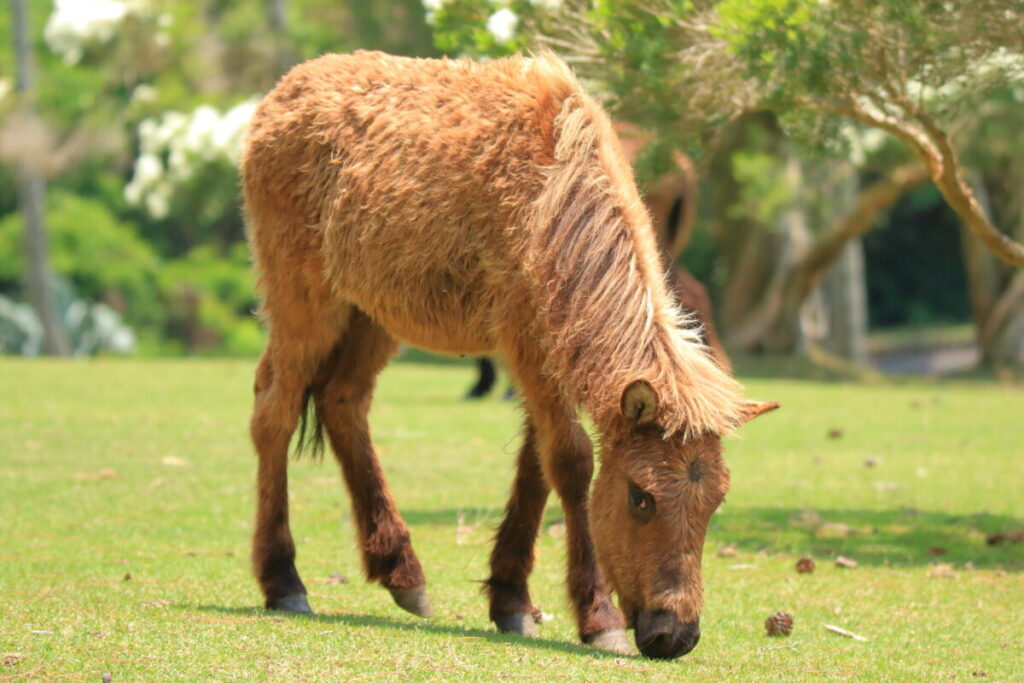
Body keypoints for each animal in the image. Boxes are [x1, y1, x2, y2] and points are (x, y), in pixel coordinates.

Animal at [242, 50, 777, 660]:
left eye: (716, 501)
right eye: (641, 497)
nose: (675, 633)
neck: (553, 198)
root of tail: (285, 90)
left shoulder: (546, 352)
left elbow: (537, 463)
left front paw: (511, 599)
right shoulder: (526, 341)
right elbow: (569, 460)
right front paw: (598, 616)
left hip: (369, 314)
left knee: (342, 403)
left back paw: (401, 570)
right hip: (303, 303)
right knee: (274, 412)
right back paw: (284, 581)